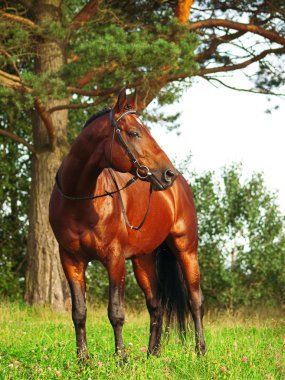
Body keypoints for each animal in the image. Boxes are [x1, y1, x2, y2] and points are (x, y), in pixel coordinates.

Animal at [48, 88, 204, 360]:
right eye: (134, 133)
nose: (168, 174)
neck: (80, 200)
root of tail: (181, 187)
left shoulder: (115, 258)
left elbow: (116, 312)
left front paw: (121, 358)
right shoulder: (70, 259)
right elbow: (79, 312)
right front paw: (83, 360)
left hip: (186, 250)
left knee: (195, 300)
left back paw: (200, 351)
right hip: (143, 260)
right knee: (156, 305)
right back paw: (153, 354)